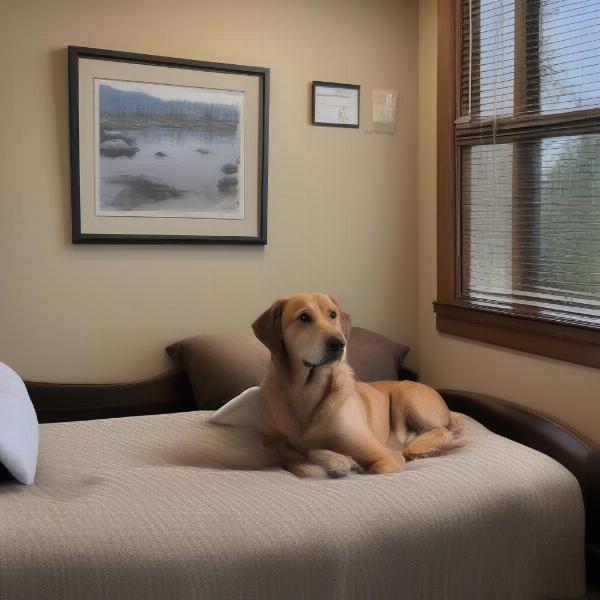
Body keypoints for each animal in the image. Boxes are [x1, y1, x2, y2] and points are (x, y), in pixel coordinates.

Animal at [252, 292, 460, 478]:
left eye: (333, 314)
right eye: (304, 317)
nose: (338, 343)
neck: (307, 390)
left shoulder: (385, 457)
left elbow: (374, 468)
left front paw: (343, 461)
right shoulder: (276, 443)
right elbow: (299, 462)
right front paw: (334, 460)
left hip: (407, 396)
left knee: (442, 431)